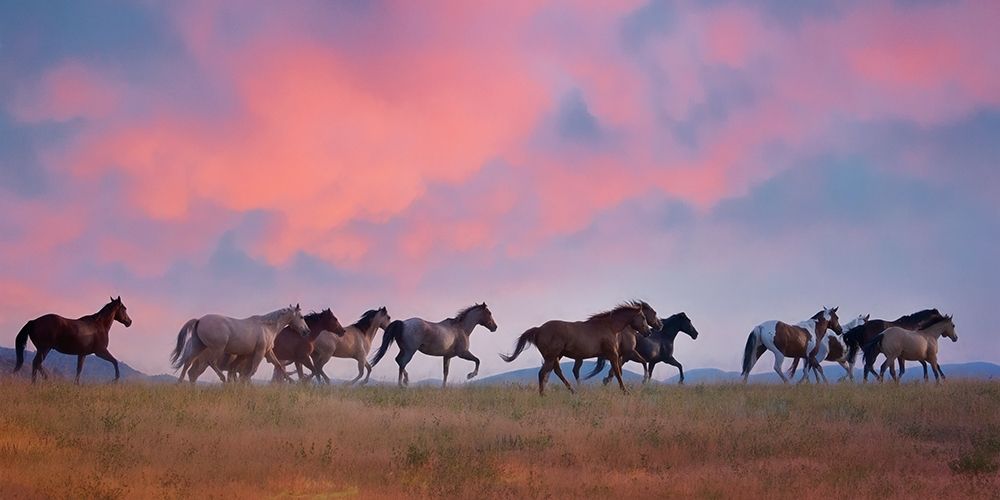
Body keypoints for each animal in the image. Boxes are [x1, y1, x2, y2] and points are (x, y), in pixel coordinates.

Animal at [170, 305, 309, 384]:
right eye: (302, 317)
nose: (306, 331)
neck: (267, 327)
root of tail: (199, 320)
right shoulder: (260, 352)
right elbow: (251, 372)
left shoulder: (267, 352)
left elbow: (279, 365)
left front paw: (293, 382)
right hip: (217, 348)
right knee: (210, 363)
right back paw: (223, 380)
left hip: (198, 346)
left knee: (188, 365)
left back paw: (180, 384)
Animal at [500, 301, 654, 395]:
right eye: (643, 317)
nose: (649, 332)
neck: (609, 327)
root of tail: (539, 329)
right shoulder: (613, 354)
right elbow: (617, 372)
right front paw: (625, 391)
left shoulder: (615, 355)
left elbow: (616, 371)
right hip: (552, 356)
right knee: (543, 373)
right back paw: (543, 395)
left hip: (555, 356)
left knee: (555, 372)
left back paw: (572, 391)